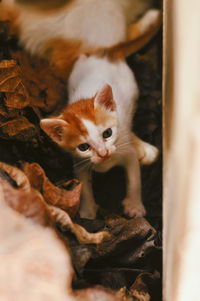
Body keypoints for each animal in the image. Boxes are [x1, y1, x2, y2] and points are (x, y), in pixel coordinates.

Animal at [0, 0, 161, 218]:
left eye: (107, 133)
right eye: (83, 146)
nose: (103, 153)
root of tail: (103, 52)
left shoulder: (125, 150)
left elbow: (134, 176)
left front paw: (134, 206)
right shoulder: (79, 162)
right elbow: (83, 184)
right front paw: (87, 211)